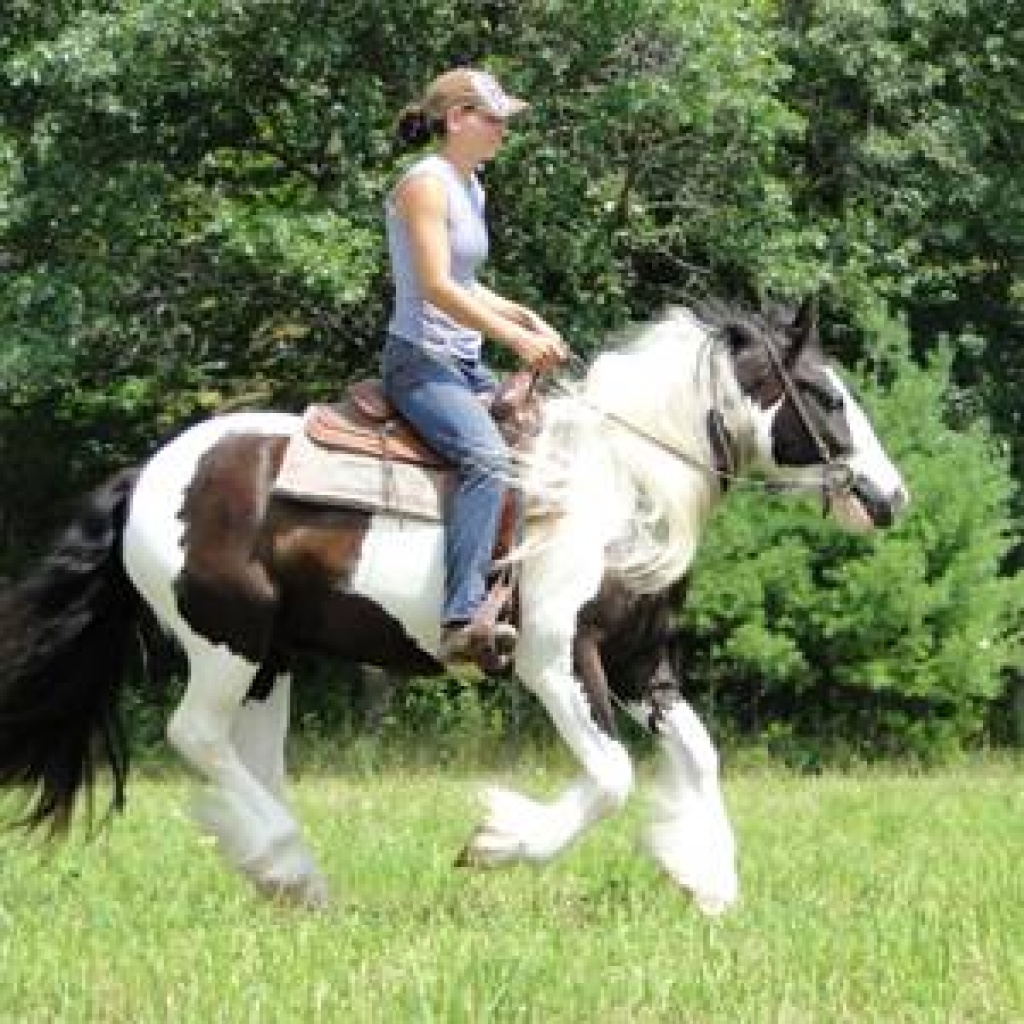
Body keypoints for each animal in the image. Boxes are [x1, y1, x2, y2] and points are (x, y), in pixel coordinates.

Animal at [0, 300, 908, 915]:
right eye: (825, 395)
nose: (890, 496)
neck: (618, 488)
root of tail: (151, 472)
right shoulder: (556, 661)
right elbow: (613, 775)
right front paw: (501, 842)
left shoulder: (642, 662)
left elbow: (700, 754)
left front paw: (706, 877)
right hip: (226, 642)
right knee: (195, 735)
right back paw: (287, 863)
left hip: (270, 660)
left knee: (249, 758)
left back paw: (287, 877)